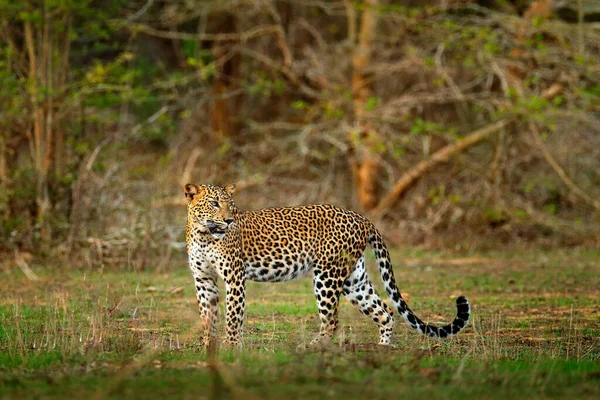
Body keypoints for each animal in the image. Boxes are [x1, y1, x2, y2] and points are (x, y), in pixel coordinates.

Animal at [183, 184, 468, 346]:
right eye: (214, 204)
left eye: (231, 206)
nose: (229, 220)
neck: (203, 233)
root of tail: (361, 217)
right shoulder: (203, 279)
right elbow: (207, 316)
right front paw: (209, 347)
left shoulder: (234, 276)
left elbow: (233, 316)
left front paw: (232, 348)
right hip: (354, 280)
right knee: (385, 312)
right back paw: (383, 349)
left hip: (327, 275)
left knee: (332, 320)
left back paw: (313, 348)